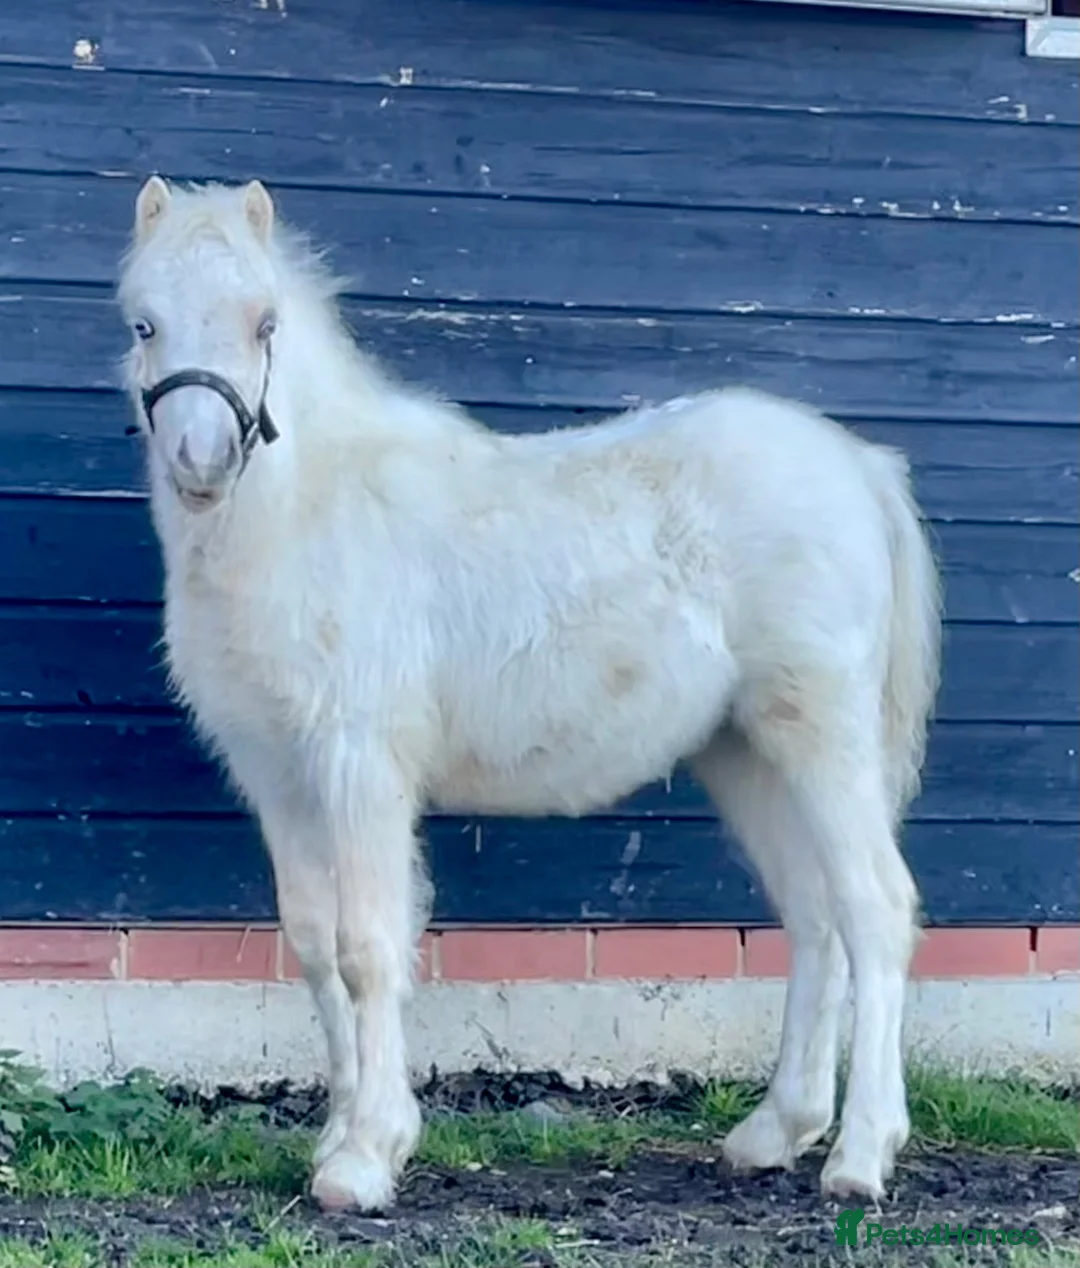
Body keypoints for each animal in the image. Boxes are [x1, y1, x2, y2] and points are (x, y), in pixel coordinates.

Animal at [117, 175, 942, 1213]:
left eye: (265, 322)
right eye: (144, 322)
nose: (203, 462)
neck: (304, 515)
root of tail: (859, 469)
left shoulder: (359, 763)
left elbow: (368, 947)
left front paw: (365, 1160)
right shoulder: (279, 775)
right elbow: (312, 946)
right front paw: (341, 1137)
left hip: (821, 735)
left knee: (875, 908)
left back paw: (862, 1154)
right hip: (748, 751)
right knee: (815, 917)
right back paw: (773, 1133)